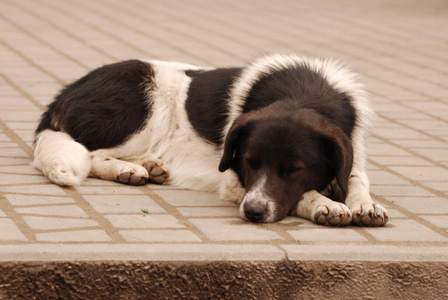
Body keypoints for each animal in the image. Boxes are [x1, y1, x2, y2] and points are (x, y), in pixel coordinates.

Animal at [32, 54, 388, 227]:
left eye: (295, 169)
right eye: (249, 162)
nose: (253, 212)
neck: (303, 94)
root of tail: (65, 93)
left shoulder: (351, 150)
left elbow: (356, 178)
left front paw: (365, 204)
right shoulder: (233, 181)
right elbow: (304, 194)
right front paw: (324, 203)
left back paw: (150, 166)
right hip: (145, 108)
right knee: (89, 152)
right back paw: (125, 169)